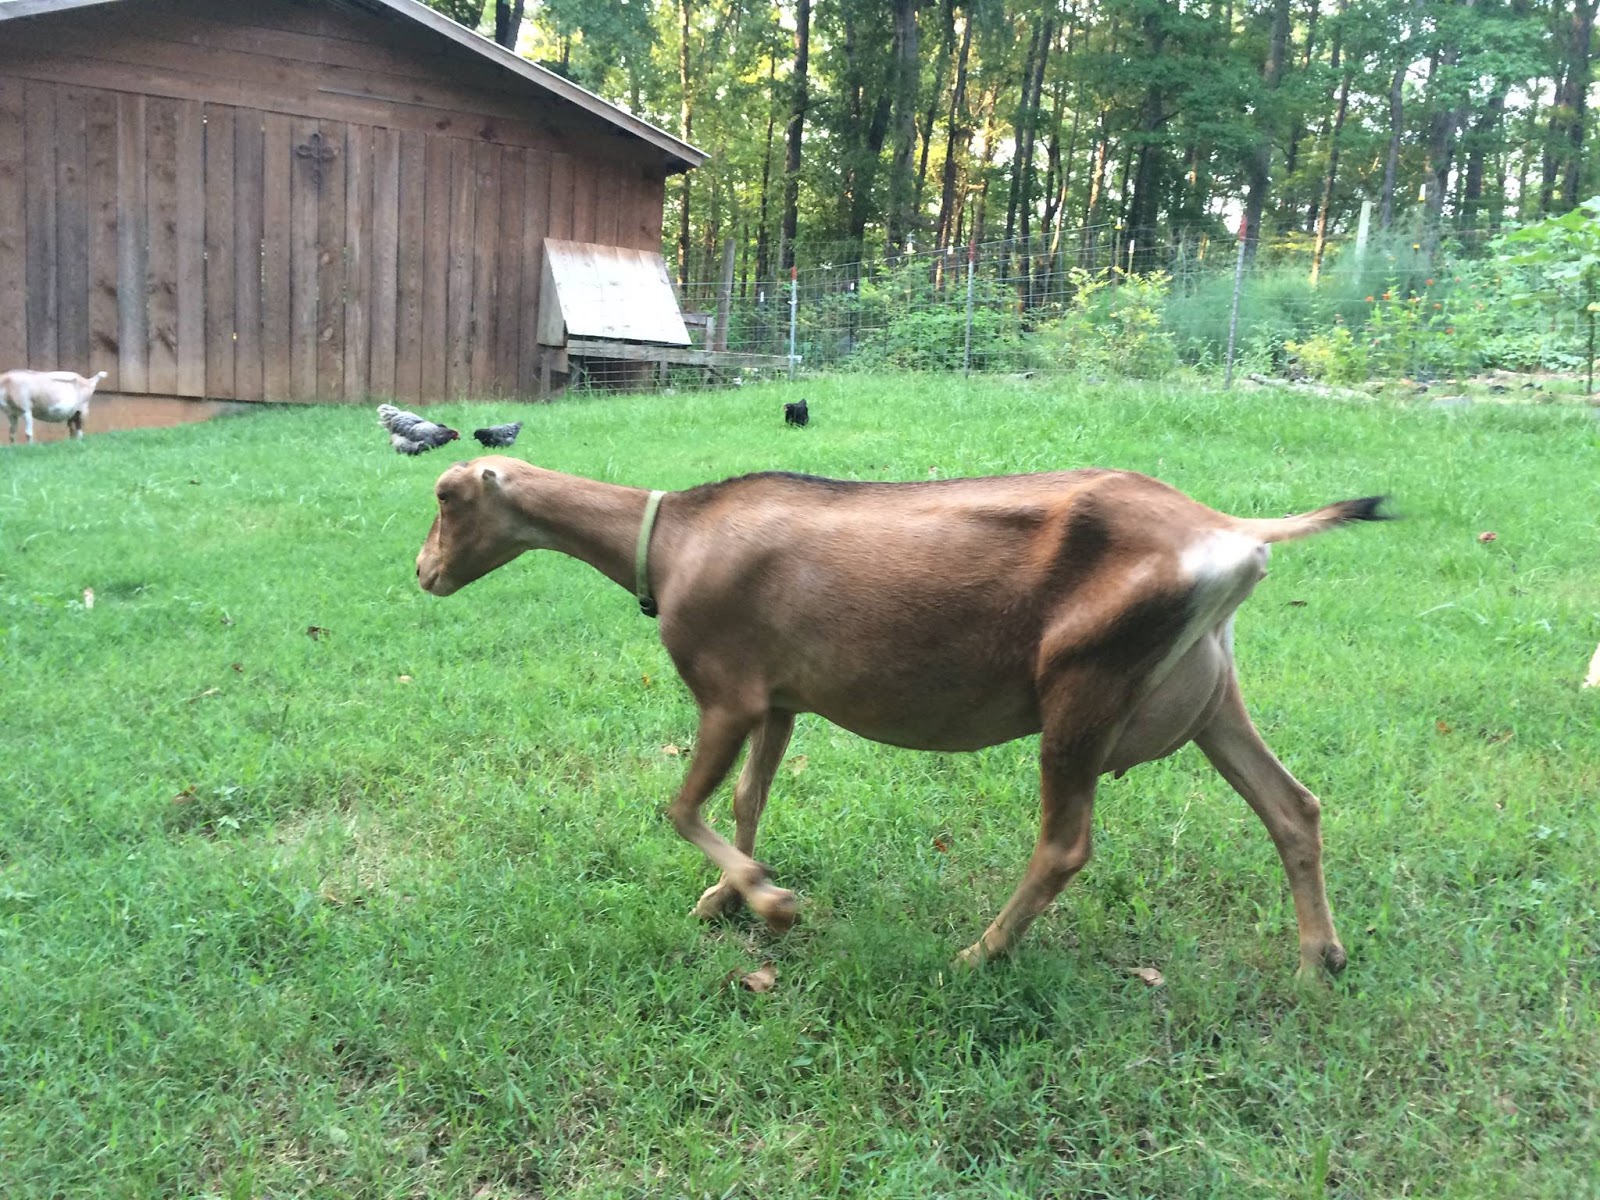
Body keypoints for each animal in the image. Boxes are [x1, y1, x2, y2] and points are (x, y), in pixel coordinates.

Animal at [416, 457, 1388, 979]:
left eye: (445, 496)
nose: (423, 575)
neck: (676, 538)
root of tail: (1235, 534)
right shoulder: (780, 702)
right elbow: (747, 802)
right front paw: (724, 898)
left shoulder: (726, 692)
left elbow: (682, 806)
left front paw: (772, 903)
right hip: (1208, 690)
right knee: (1292, 805)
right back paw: (1321, 960)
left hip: (1085, 684)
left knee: (1066, 845)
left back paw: (977, 956)